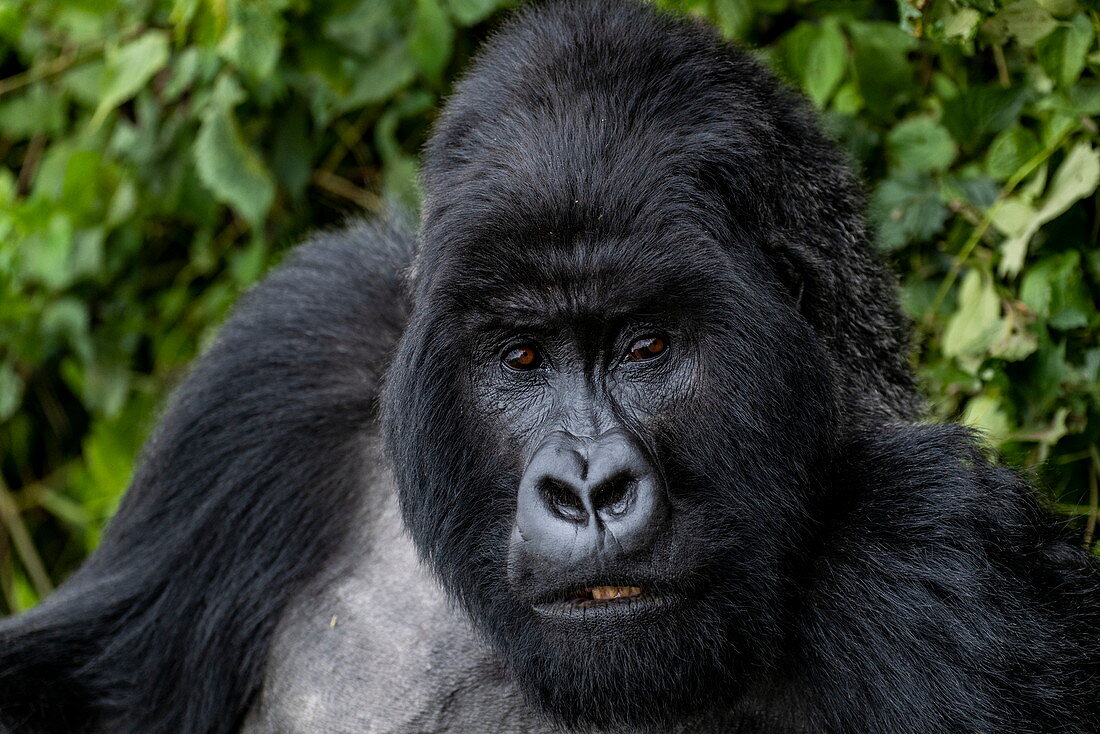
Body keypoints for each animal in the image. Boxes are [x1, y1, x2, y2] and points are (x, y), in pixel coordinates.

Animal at [2, 1, 1100, 734]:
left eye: (646, 346)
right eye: (522, 356)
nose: (585, 487)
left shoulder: (948, 558)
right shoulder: (286, 362)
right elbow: (71, 690)